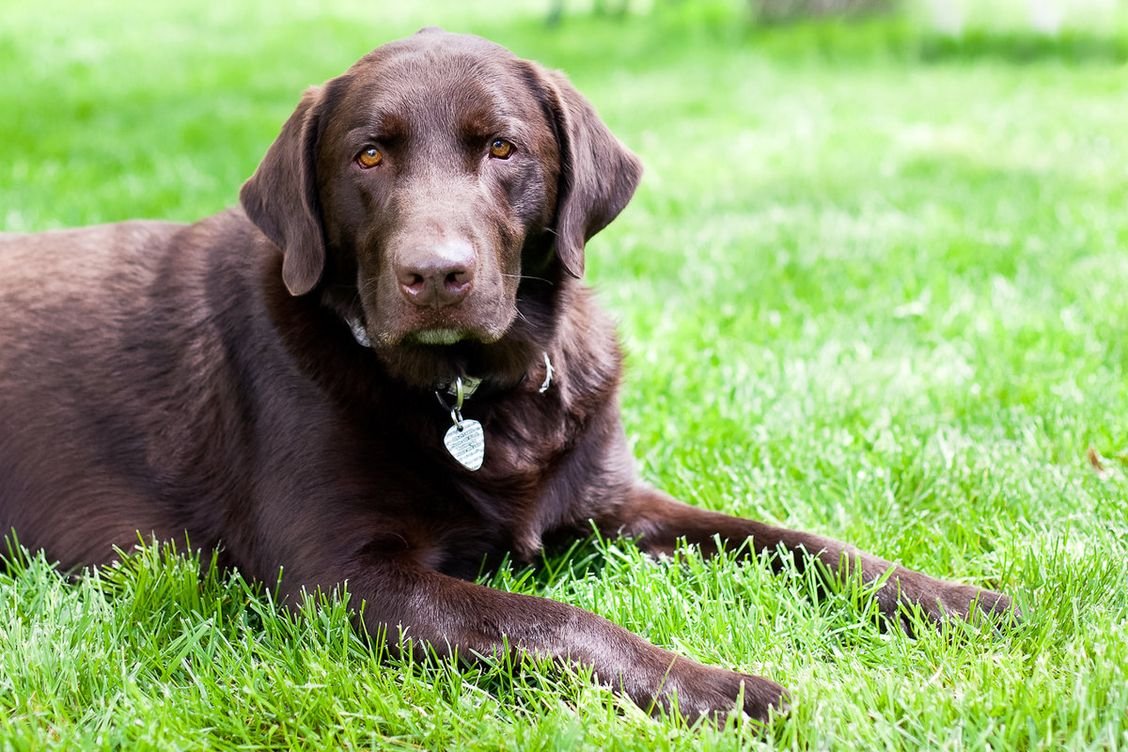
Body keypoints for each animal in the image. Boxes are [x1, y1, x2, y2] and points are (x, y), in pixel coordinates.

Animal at [0, 29, 1015, 721]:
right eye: (368, 154)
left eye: (502, 148)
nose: (435, 274)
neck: (473, 393)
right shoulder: (343, 578)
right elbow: (557, 620)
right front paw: (722, 688)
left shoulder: (617, 503)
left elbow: (795, 540)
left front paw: (953, 597)